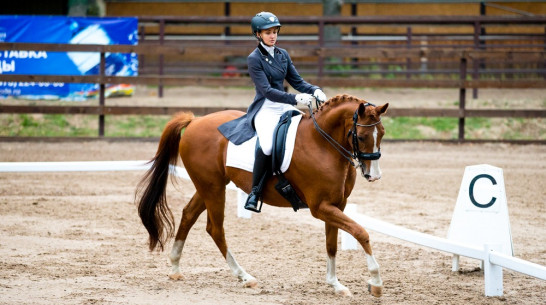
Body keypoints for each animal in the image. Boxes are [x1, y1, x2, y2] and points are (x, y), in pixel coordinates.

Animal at [136, 94, 386, 296]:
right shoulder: (320, 207)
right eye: (362, 136)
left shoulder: (336, 205)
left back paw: (175, 267)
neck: (322, 144)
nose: (374, 176)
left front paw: (335, 285)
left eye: (382, 133)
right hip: (213, 189)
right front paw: (375, 282)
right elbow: (361, 232)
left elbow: (332, 244)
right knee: (215, 229)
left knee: (188, 215)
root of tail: (195, 121)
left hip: (208, 186)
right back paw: (244, 276)